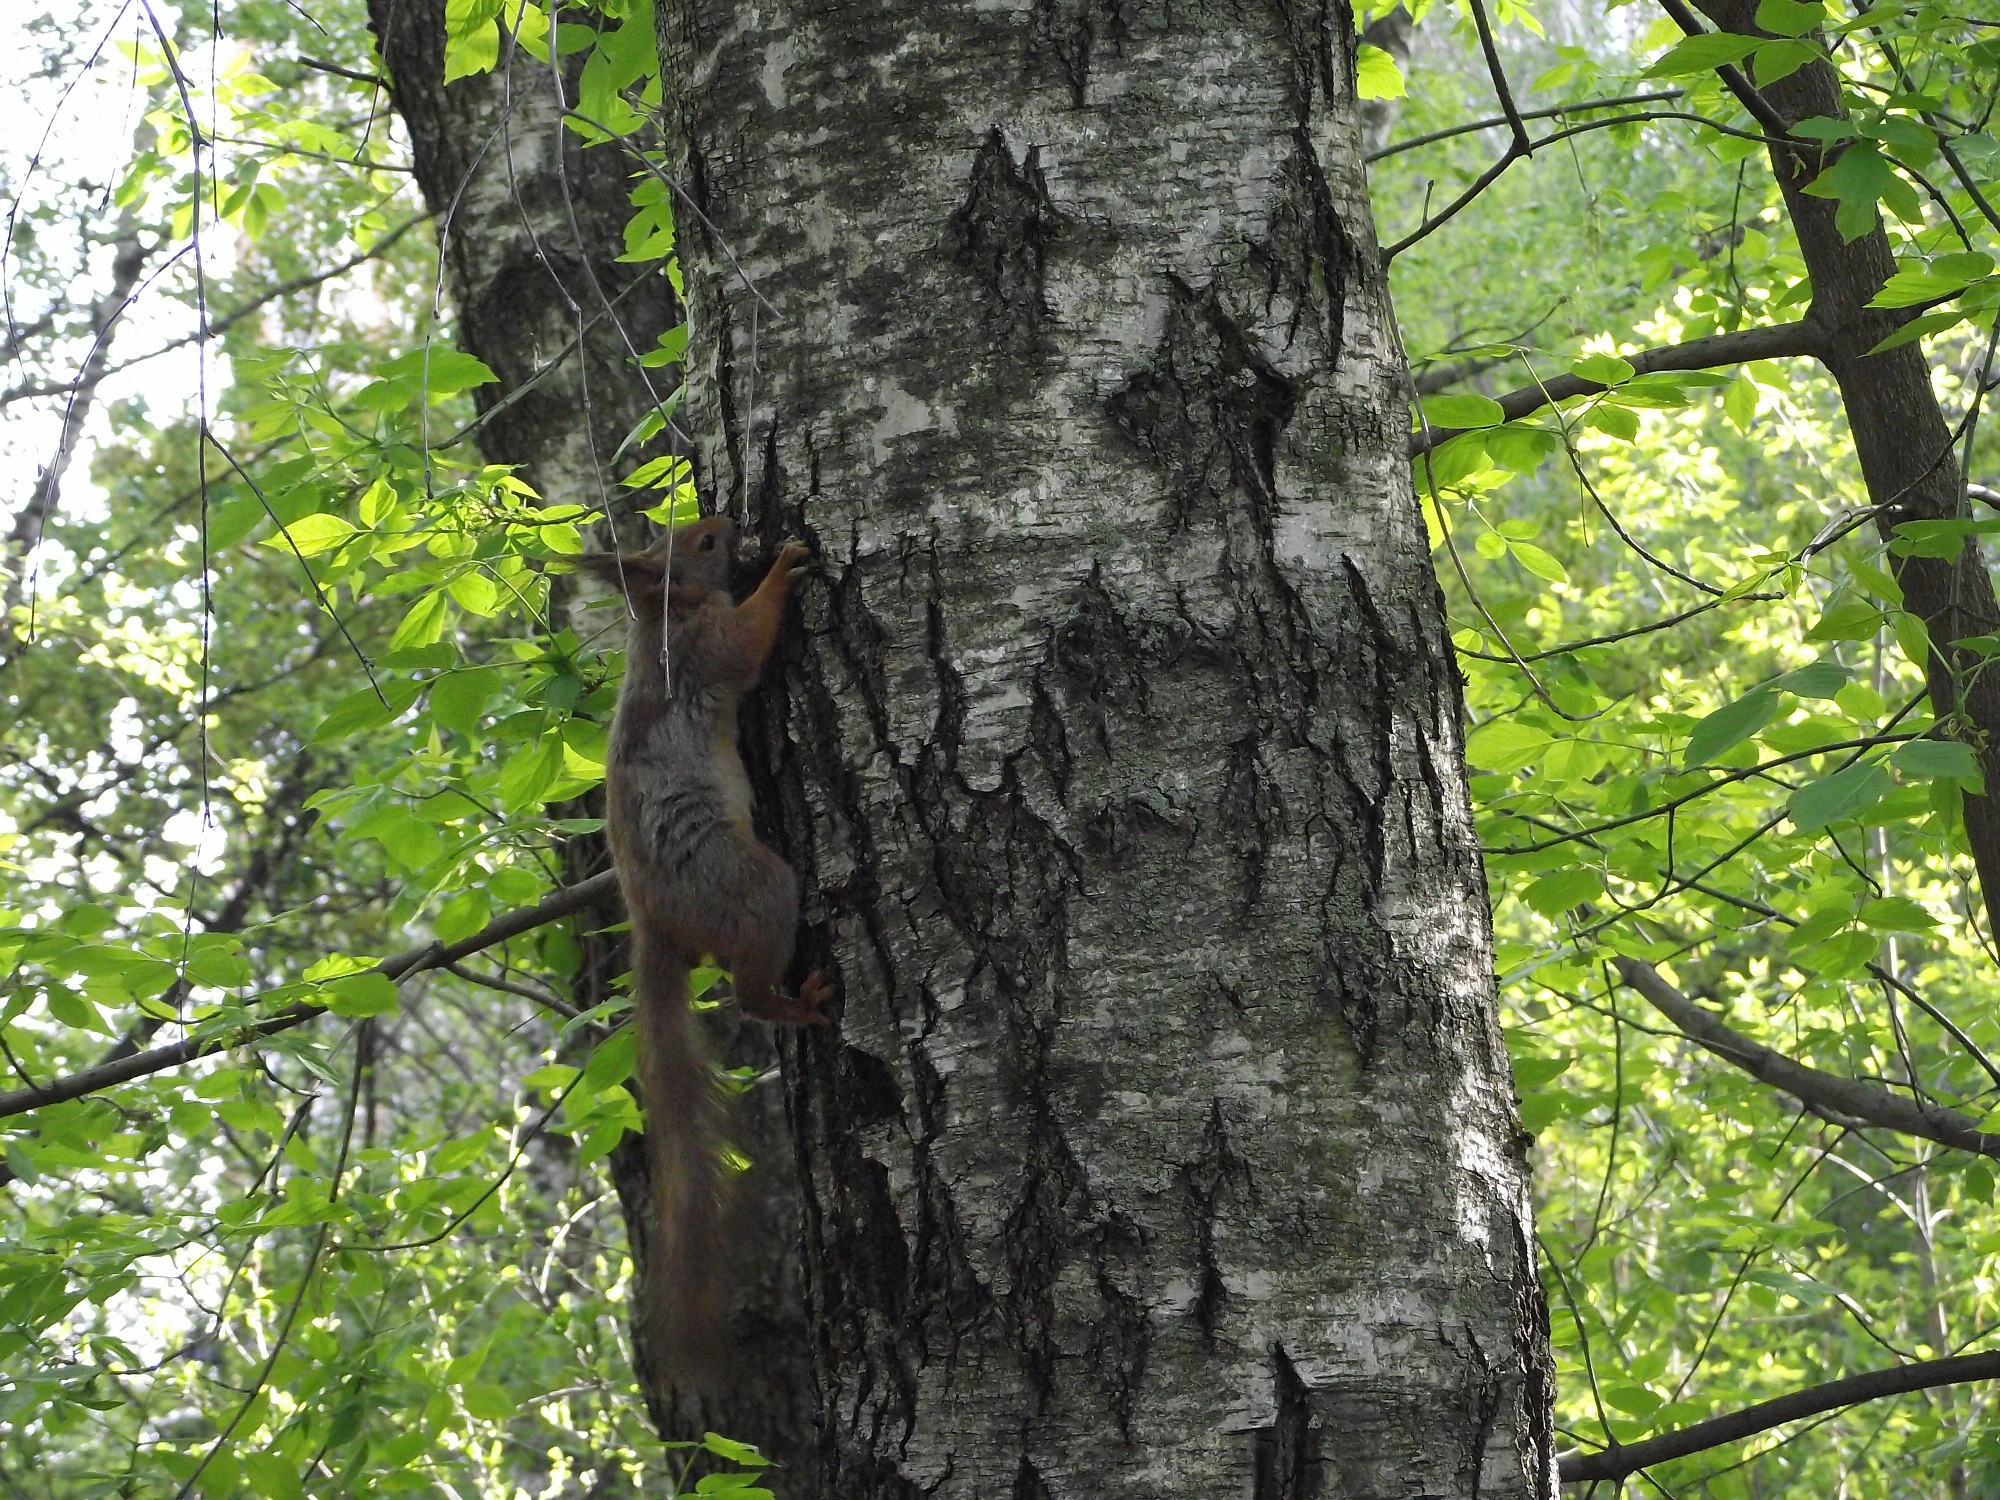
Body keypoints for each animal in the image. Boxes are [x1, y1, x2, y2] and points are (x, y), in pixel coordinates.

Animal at [576, 516, 832, 1384]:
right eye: (701, 543)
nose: (726, 520)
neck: (664, 618)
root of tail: (653, 925)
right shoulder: (706, 650)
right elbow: (748, 641)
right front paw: (784, 569)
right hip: (752, 886)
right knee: (750, 984)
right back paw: (800, 1002)